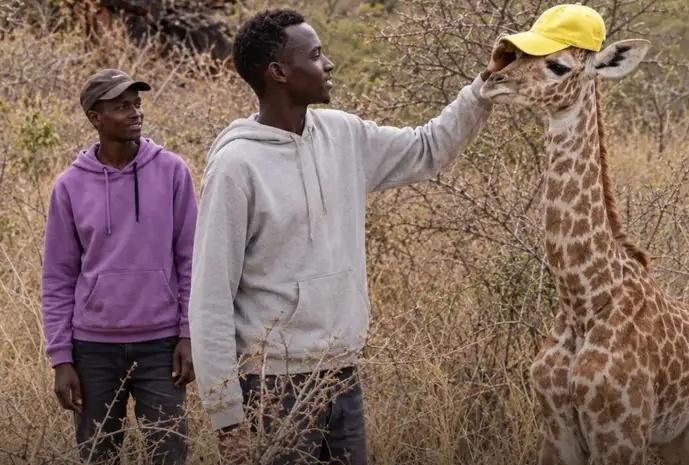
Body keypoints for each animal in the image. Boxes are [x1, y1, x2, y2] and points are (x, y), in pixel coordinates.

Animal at [479, 7, 689, 465]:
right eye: (513, 55)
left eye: (559, 66)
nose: (490, 79)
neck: (584, 301)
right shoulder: (556, 431)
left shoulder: (621, 435)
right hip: (674, 437)